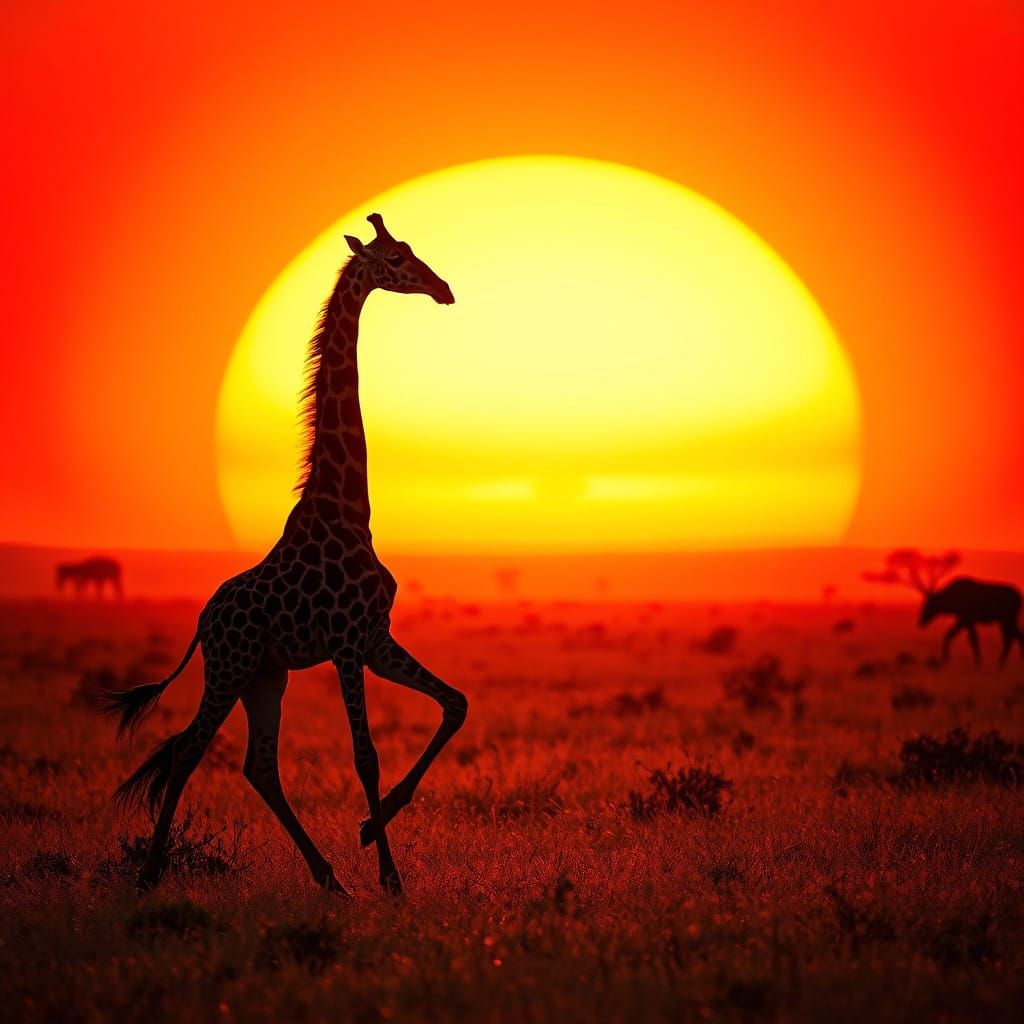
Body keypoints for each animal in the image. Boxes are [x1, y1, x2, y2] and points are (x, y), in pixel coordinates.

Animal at [97, 214, 468, 896]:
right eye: (396, 259)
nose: (444, 288)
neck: (347, 509)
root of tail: (203, 621)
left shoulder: (374, 639)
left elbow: (454, 704)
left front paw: (370, 831)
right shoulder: (347, 645)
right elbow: (365, 756)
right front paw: (390, 875)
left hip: (265, 675)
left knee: (258, 765)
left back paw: (328, 877)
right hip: (230, 667)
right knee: (189, 751)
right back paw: (150, 873)